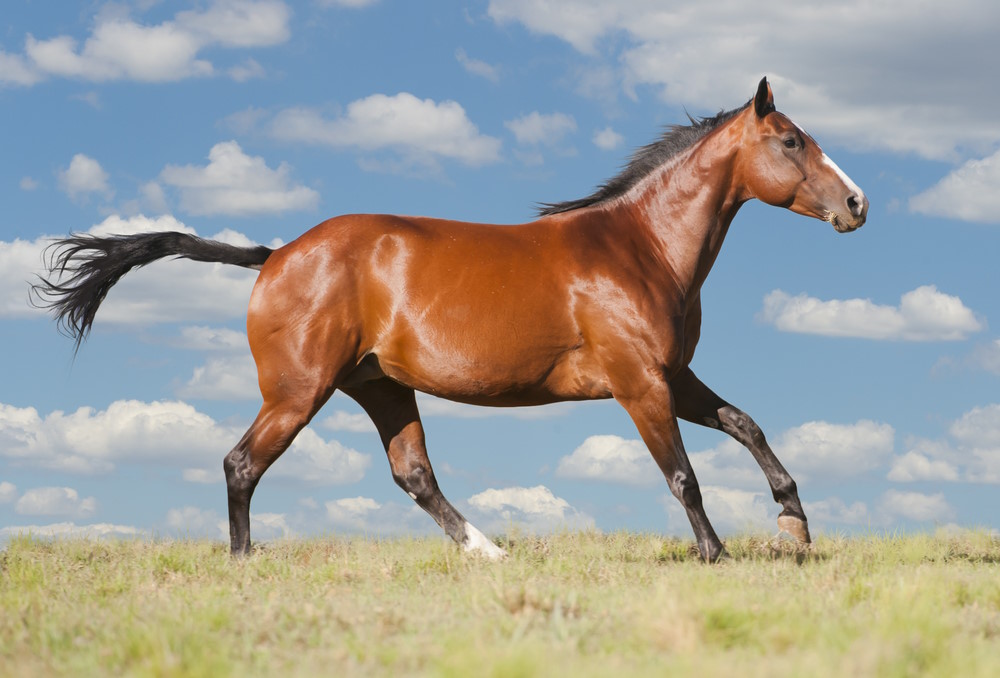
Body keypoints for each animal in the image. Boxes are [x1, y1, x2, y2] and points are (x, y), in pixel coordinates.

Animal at [32, 78, 867, 562]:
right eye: (791, 140)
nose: (857, 204)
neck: (638, 247)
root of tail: (275, 257)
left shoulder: (674, 375)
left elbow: (747, 425)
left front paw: (794, 527)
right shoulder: (639, 384)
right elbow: (683, 474)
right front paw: (716, 554)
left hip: (379, 387)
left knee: (413, 475)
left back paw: (488, 554)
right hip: (299, 391)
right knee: (242, 464)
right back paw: (244, 561)